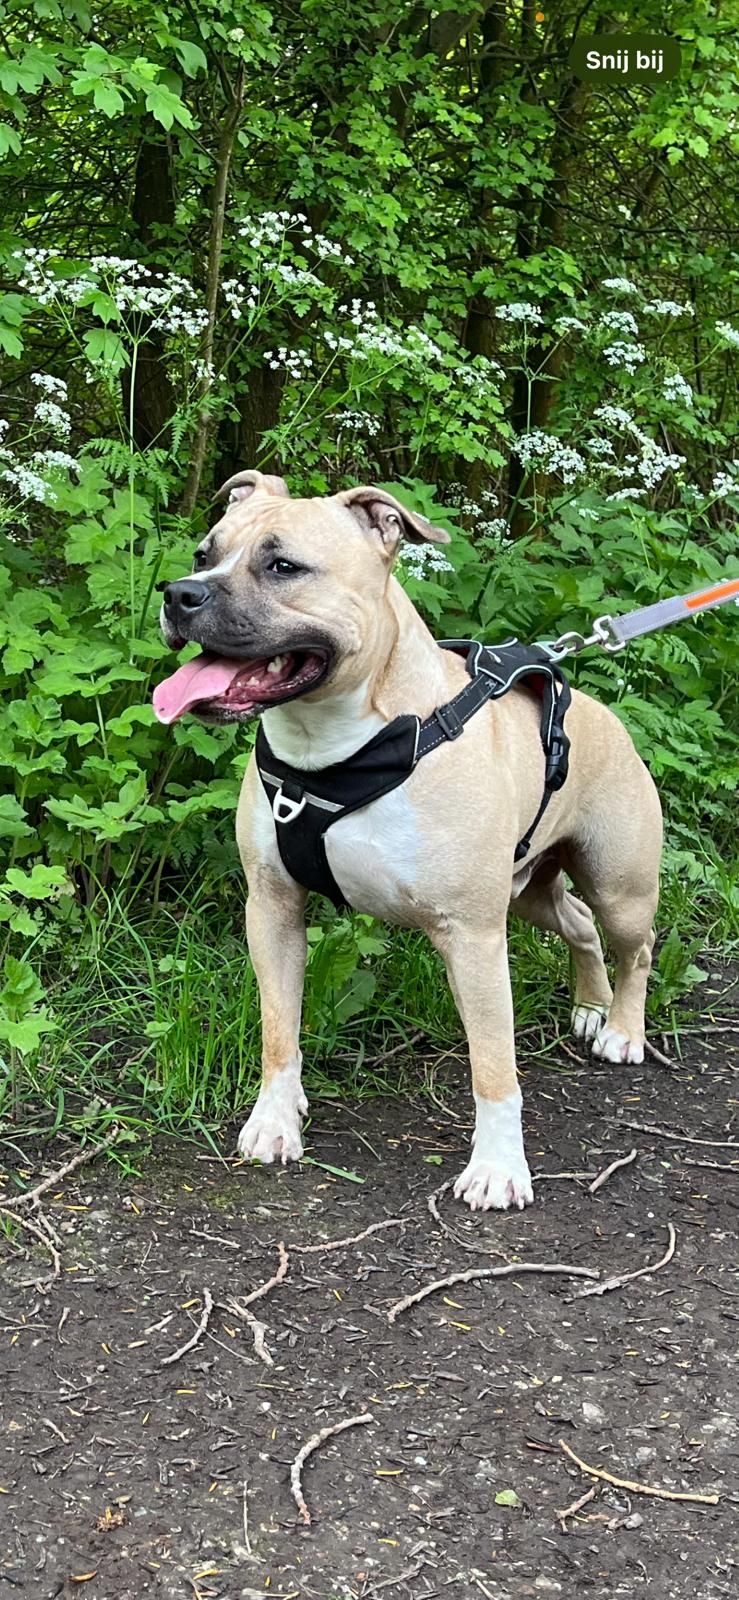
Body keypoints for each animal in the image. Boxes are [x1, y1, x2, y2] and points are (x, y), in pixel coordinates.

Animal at [154, 469, 662, 1211]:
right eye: (203, 553)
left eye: (283, 567)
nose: (178, 593)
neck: (337, 748)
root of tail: (606, 715)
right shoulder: (272, 910)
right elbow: (279, 1031)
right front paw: (275, 1121)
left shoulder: (473, 936)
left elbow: (493, 1065)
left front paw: (498, 1168)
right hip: (528, 892)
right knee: (576, 924)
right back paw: (591, 1006)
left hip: (618, 887)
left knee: (634, 947)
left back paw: (622, 1028)